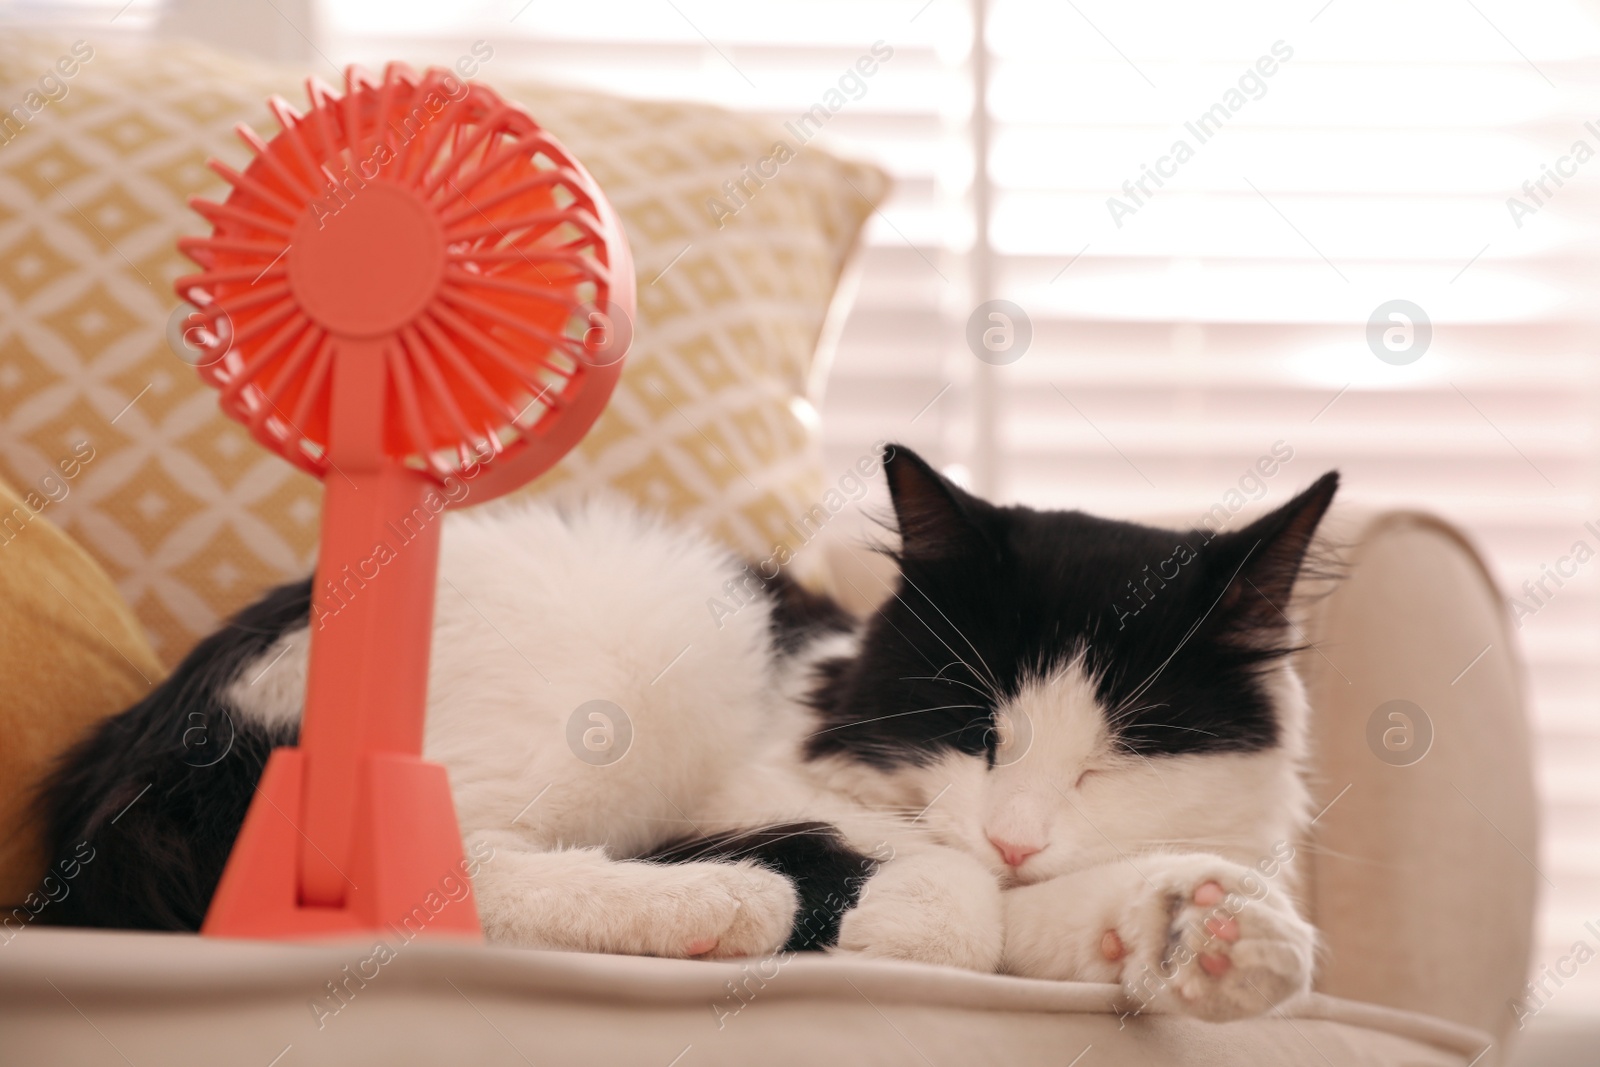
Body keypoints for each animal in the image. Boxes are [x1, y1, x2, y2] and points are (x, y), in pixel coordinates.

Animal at [34, 447, 1337, 1023]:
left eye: (1117, 752)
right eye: (972, 727)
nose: (1017, 836)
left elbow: (1088, 905)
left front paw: (1212, 931)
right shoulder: (772, 785)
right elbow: (937, 878)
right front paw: (914, 917)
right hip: (627, 644)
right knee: (432, 876)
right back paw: (719, 904)